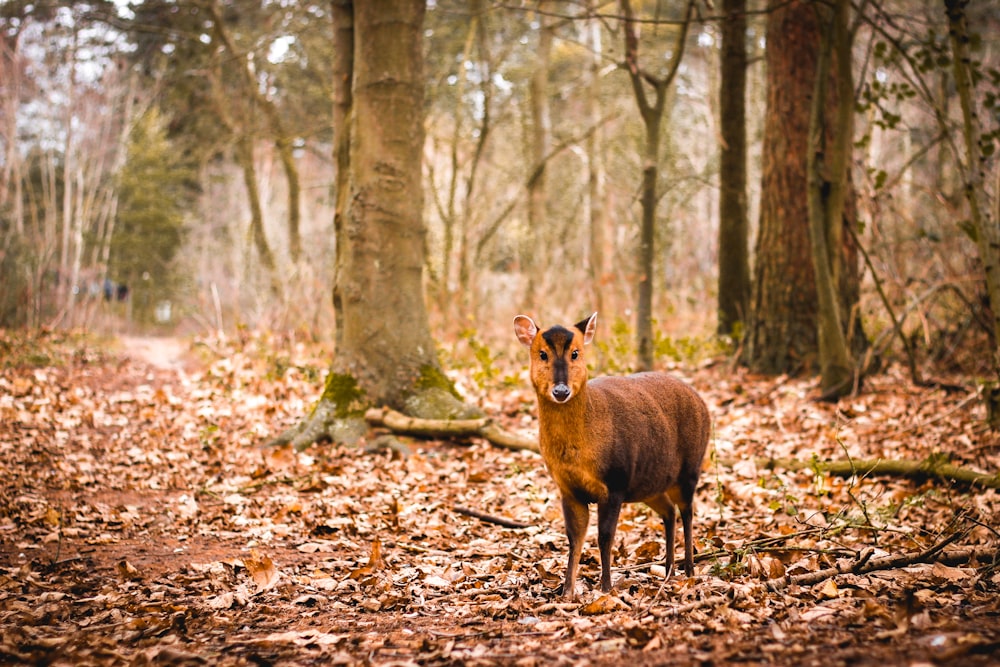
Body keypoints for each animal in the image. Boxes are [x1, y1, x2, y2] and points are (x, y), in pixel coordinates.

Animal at [516, 314, 712, 600]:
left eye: (576, 353)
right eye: (542, 354)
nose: (561, 391)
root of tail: (702, 402)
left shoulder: (615, 482)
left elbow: (605, 536)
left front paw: (606, 587)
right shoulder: (568, 489)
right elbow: (574, 538)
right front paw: (567, 591)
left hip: (690, 467)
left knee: (687, 512)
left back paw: (688, 570)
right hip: (650, 484)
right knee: (669, 510)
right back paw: (667, 570)